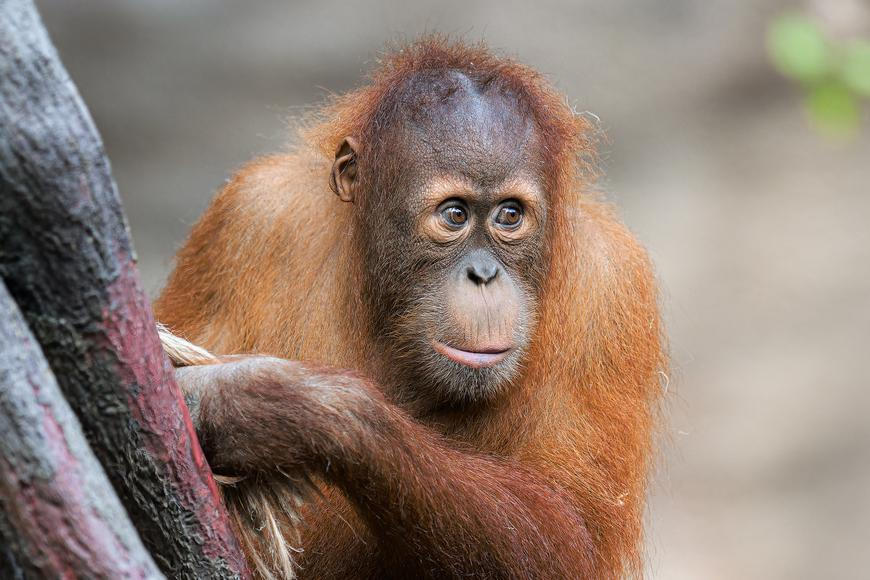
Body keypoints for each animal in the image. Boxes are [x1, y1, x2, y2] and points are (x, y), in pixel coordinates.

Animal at [155, 37, 665, 579]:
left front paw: (274, 403)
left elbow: (571, 529)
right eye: (455, 214)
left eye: (510, 215)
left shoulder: (611, 287)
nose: (484, 274)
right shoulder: (246, 215)